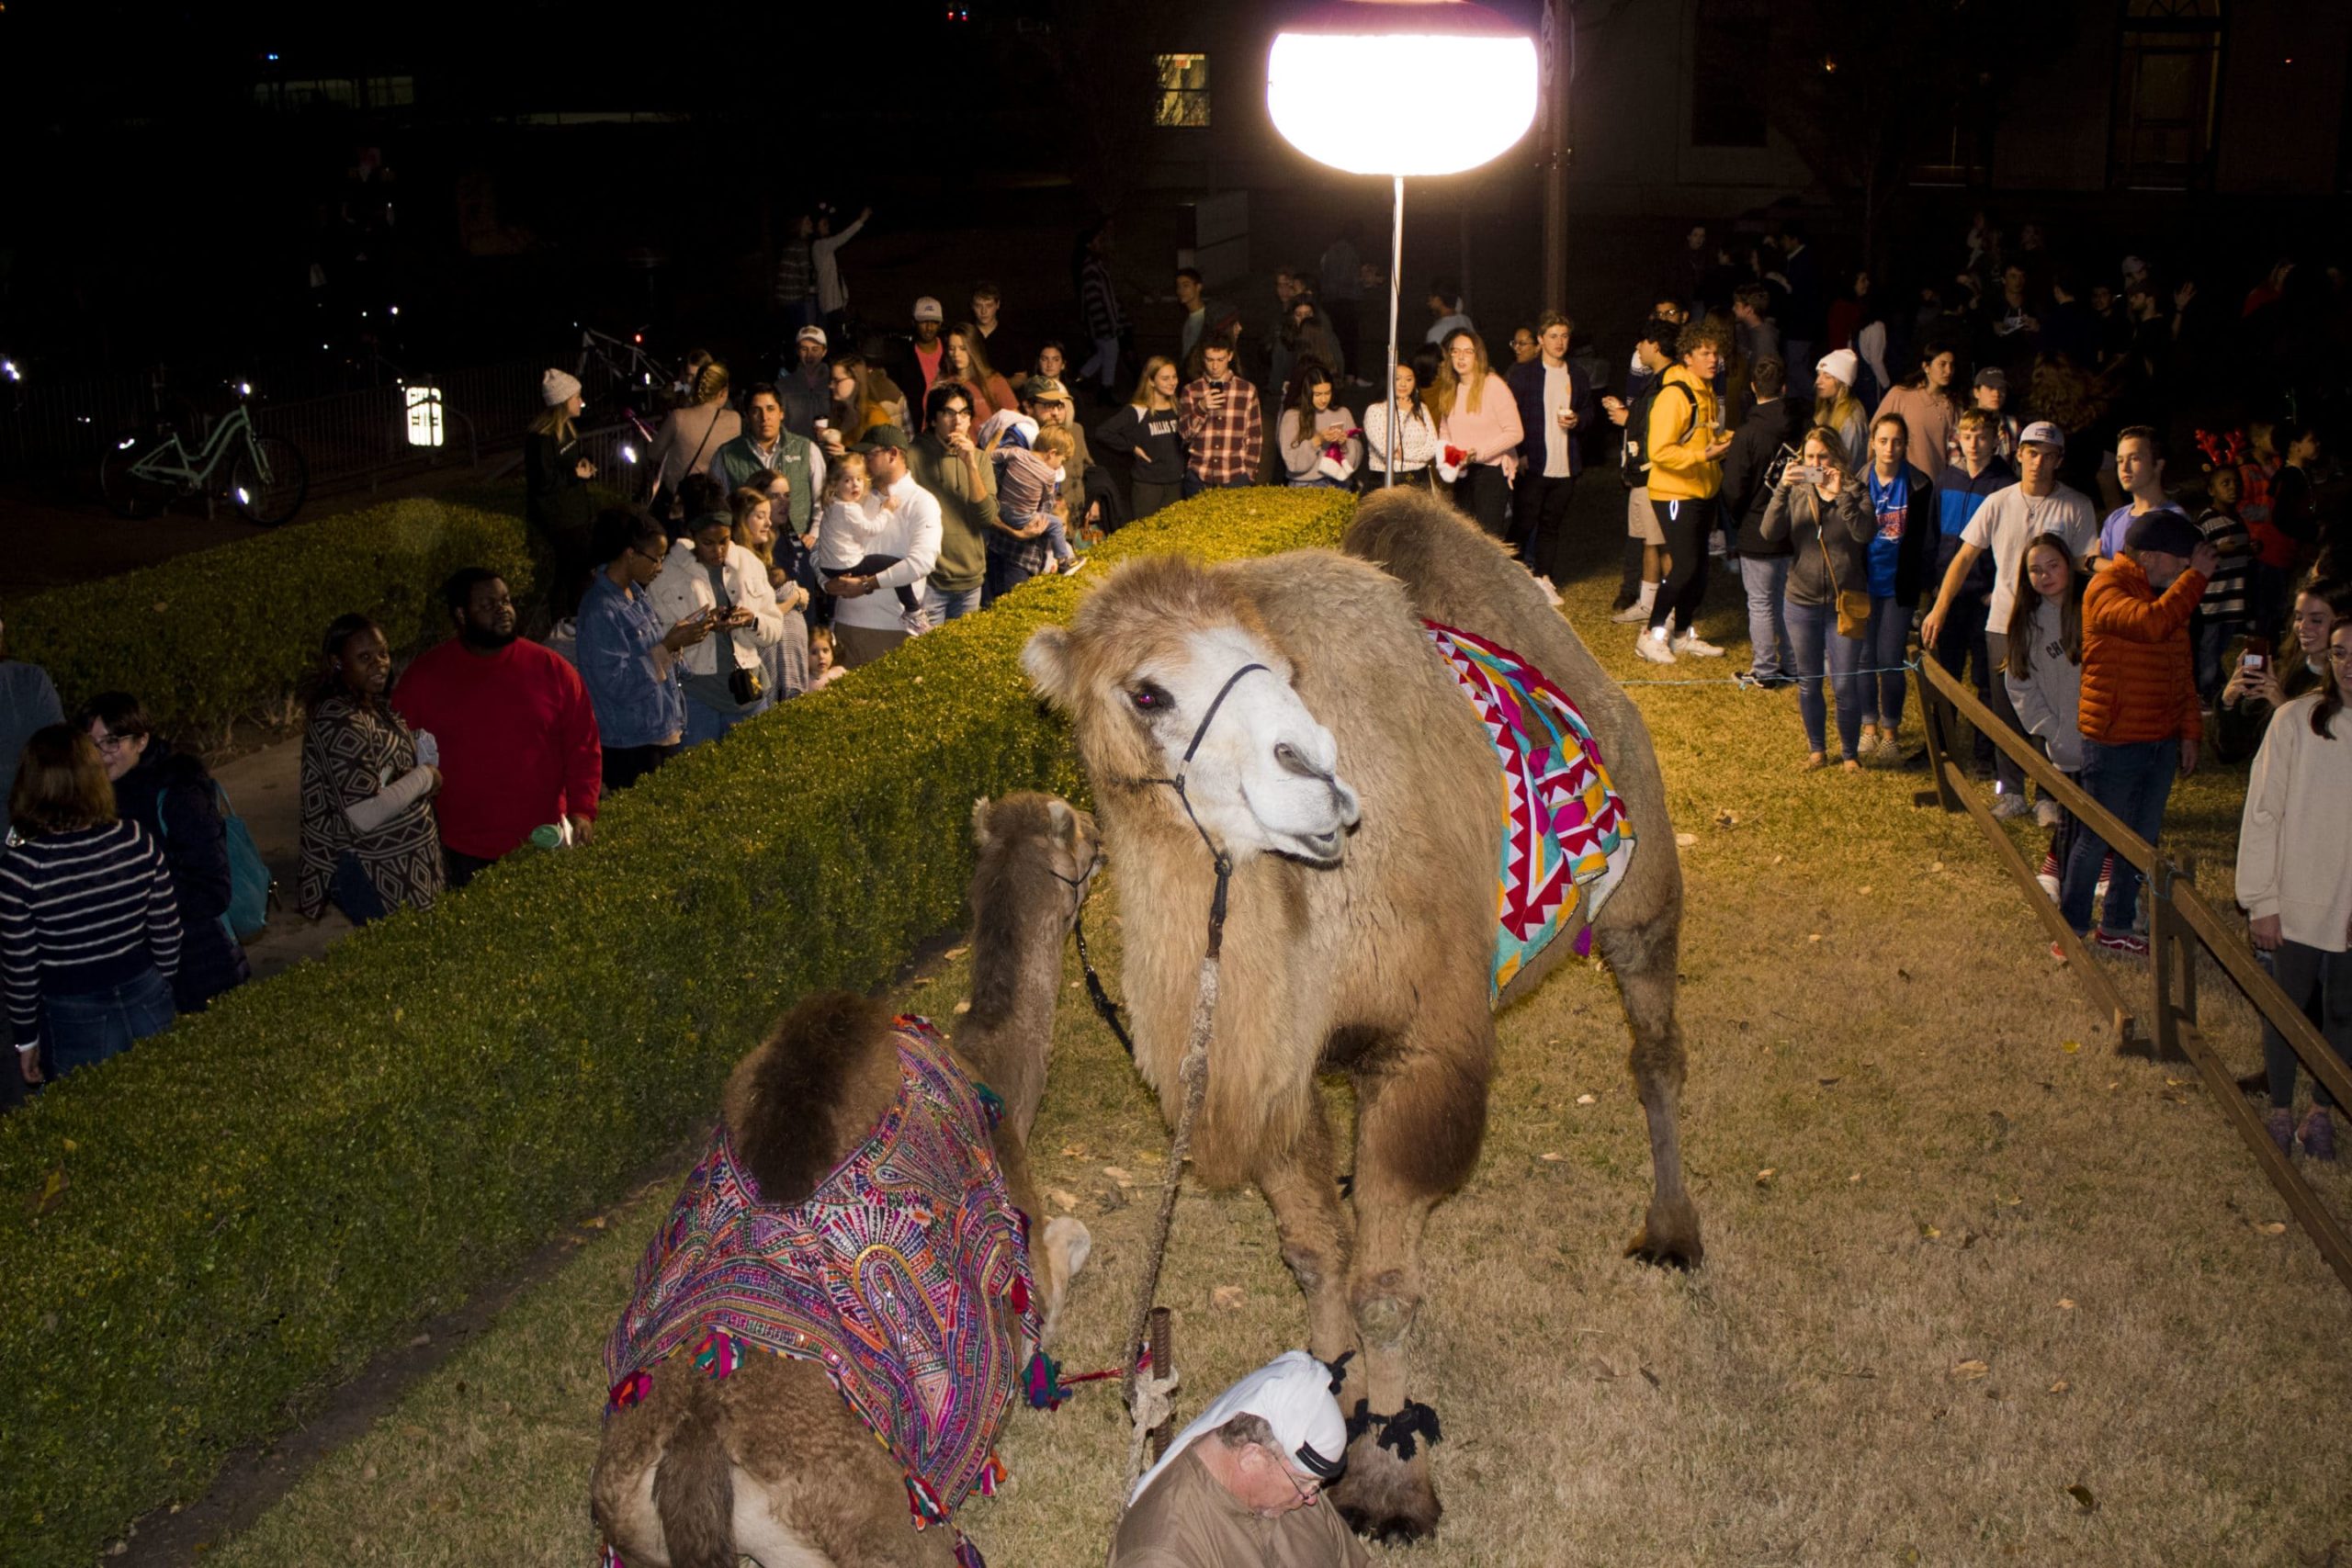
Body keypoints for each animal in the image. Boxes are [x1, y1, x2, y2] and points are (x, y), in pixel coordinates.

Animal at [588, 799, 1101, 1568]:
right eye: (1086, 832)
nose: (1105, 838)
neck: (995, 1076)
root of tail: (692, 1449)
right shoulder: (1029, 1275)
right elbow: (1071, 1244)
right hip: (881, 1529)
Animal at [1021, 493, 1702, 1541]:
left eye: (1280, 663)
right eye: (1146, 692)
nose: (1317, 775)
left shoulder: (1416, 1045)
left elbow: (1383, 1292)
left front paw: (1389, 1477)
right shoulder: (1275, 1070)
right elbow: (1313, 1257)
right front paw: (1325, 1386)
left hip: (1642, 899)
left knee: (1655, 1048)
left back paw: (1671, 1232)